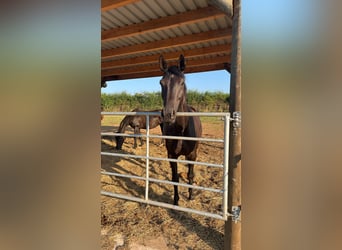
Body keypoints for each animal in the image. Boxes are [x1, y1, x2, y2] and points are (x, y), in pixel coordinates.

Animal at [159, 54, 202, 205]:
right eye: (161, 82)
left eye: (182, 82)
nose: (168, 114)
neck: (182, 130)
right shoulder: (172, 155)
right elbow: (175, 178)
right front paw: (176, 201)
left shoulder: (192, 155)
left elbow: (190, 175)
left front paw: (190, 196)